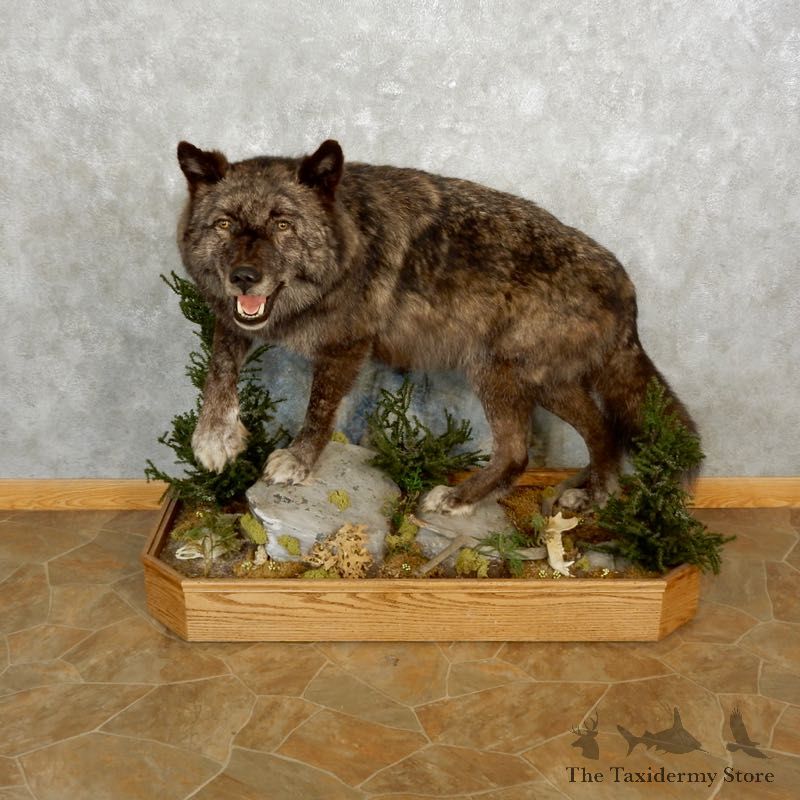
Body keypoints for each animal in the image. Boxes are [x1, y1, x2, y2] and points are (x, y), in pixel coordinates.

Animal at [175, 138, 696, 514]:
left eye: (283, 225)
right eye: (224, 224)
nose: (244, 277)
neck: (348, 243)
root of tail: (627, 290)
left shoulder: (345, 347)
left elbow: (318, 410)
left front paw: (298, 461)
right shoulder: (234, 317)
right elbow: (219, 368)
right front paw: (214, 437)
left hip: (502, 374)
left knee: (519, 453)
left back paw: (459, 498)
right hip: (545, 385)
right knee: (602, 432)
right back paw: (590, 497)